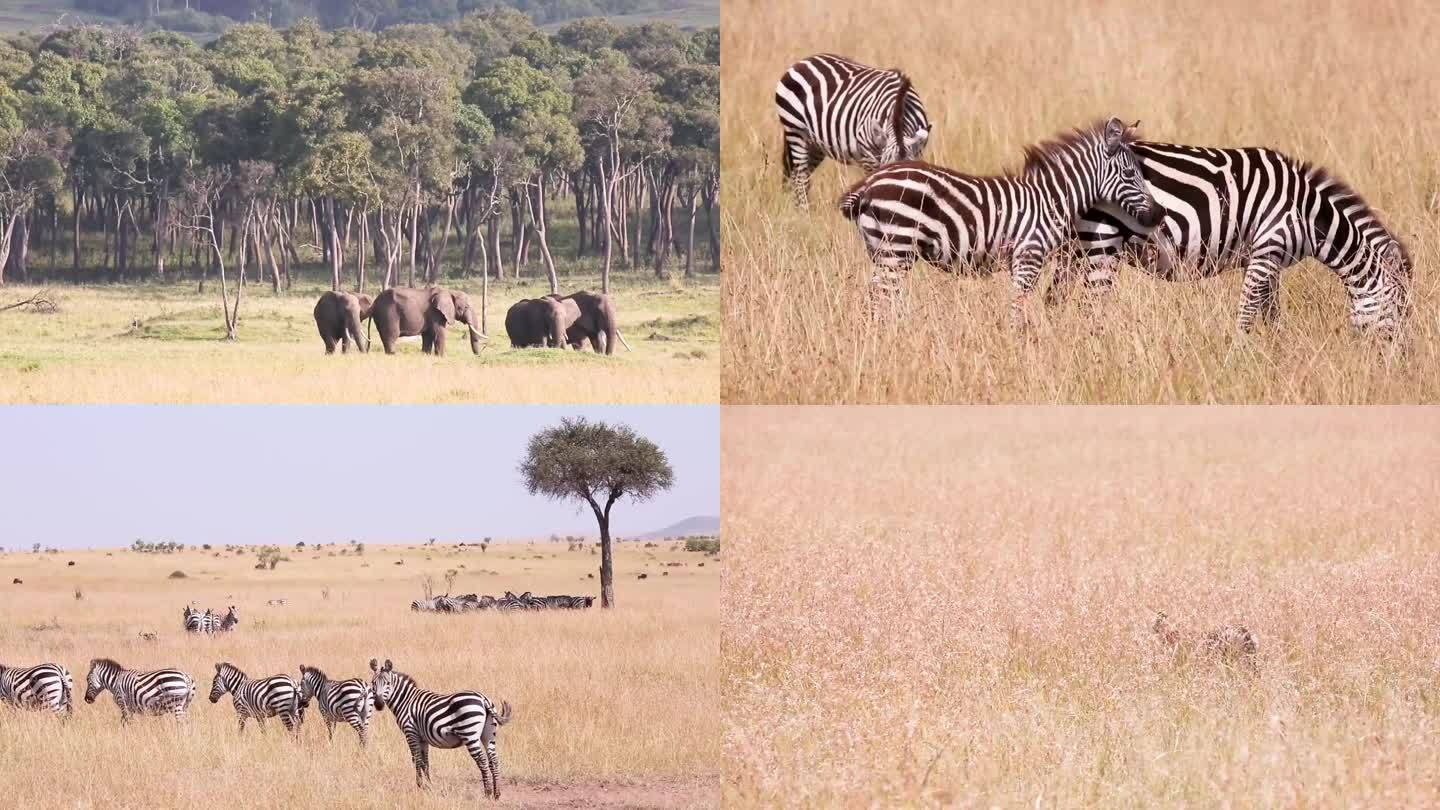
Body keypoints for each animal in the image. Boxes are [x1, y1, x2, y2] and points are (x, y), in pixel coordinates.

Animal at [371, 657, 512, 795]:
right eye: (373, 683)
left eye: (387, 683)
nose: (378, 704)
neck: (405, 701)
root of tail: (483, 699)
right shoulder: (423, 738)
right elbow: (425, 762)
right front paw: (429, 786)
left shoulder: (410, 732)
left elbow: (416, 759)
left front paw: (419, 786)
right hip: (488, 734)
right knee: (494, 760)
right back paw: (497, 793)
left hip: (470, 734)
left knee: (482, 761)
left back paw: (487, 793)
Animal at [777, 51, 933, 206]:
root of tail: (804, 61)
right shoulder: (869, 157)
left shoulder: (918, 151)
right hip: (796, 132)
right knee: (800, 178)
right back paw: (805, 211)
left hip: (815, 144)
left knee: (801, 176)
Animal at [840, 116, 1163, 315]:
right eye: (1130, 174)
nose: (1159, 214)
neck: (1052, 198)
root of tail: (870, 182)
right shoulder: (1028, 256)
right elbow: (1017, 309)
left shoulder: (1017, 261)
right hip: (895, 249)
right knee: (877, 301)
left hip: (883, 251)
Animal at [1065, 141, 1411, 334]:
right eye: (1401, 310)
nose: (1404, 363)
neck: (1308, 213)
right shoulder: (1267, 249)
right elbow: (1246, 314)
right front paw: (1237, 358)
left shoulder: (1270, 261)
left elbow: (1271, 315)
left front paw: (1276, 356)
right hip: (1102, 243)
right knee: (1089, 310)